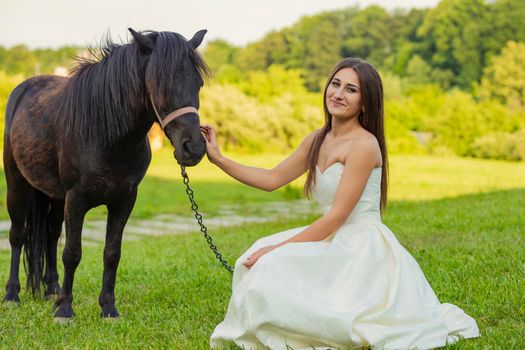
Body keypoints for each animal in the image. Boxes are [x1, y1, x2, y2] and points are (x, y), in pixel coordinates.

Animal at [2, 28, 207, 322]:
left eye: (198, 83)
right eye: (159, 85)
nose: (194, 148)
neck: (107, 136)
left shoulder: (124, 201)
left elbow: (112, 253)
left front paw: (108, 308)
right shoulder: (76, 200)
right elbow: (72, 253)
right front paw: (65, 310)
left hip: (55, 197)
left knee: (51, 235)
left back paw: (52, 290)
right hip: (17, 186)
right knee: (17, 235)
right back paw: (12, 295)